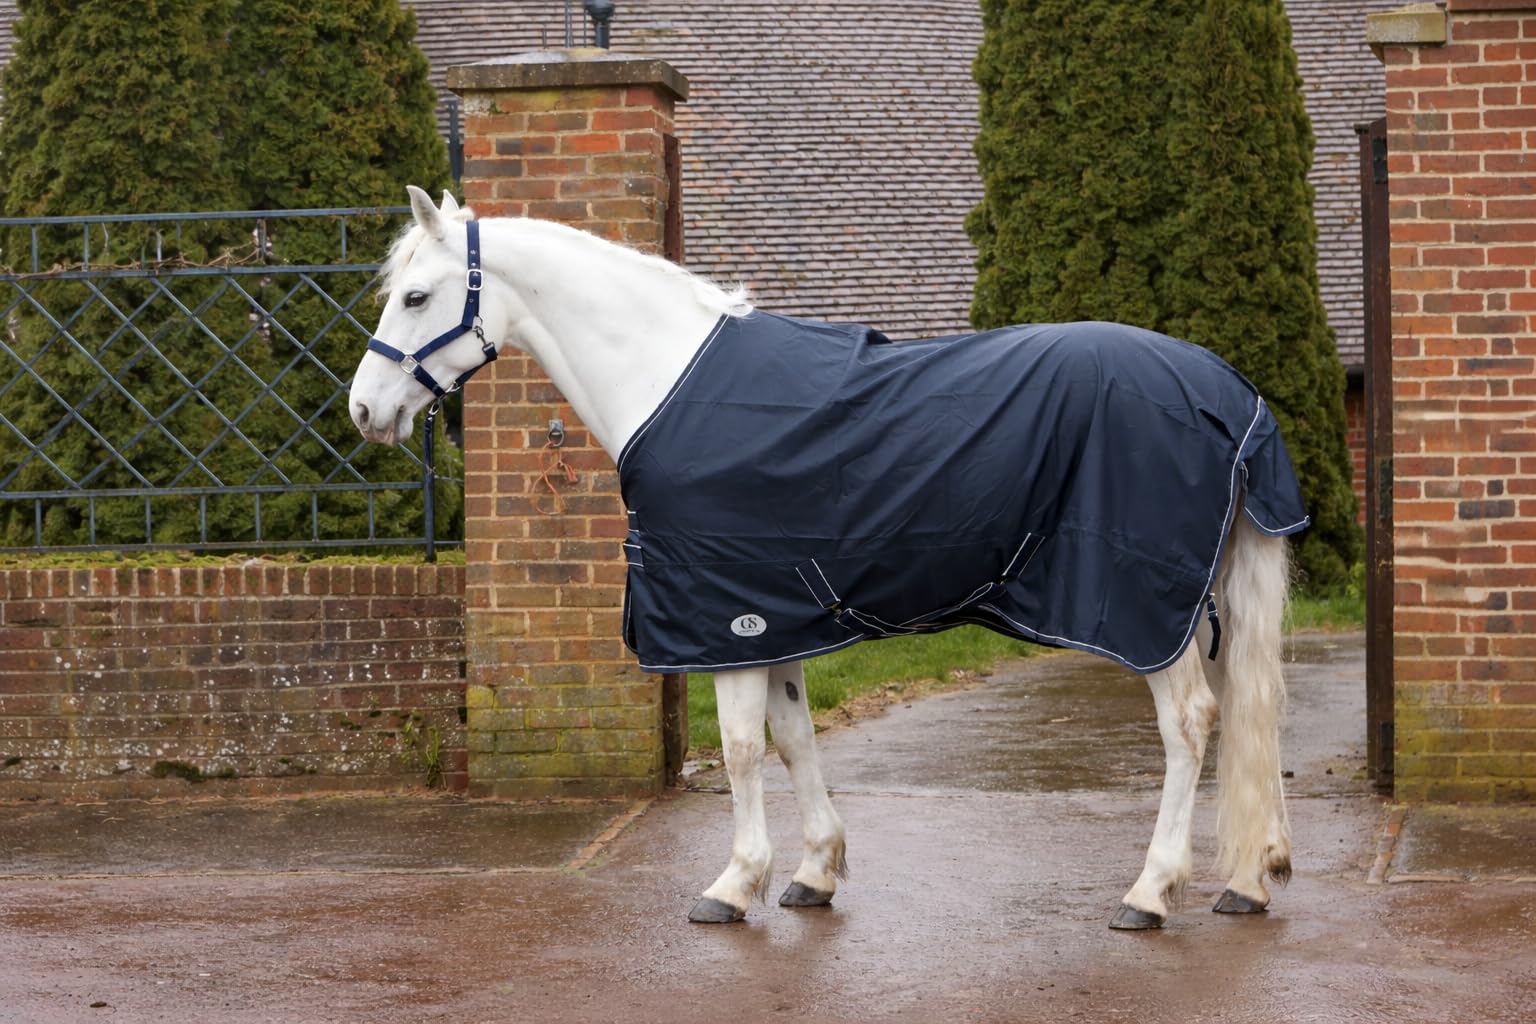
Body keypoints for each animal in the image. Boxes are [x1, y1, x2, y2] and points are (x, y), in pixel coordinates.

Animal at [350, 187, 1302, 931]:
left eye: (417, 297)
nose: (364, 410)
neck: (668, 381)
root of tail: (1226, 392)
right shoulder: (776, 615)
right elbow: (793, 736)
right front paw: (813, 871)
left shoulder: (725, 615)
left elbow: (740, 748)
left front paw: (734, 883)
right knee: (1248, 713)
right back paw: (1249, 880)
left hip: (1143, 612)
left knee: (1192, 723)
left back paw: (1151, 891)